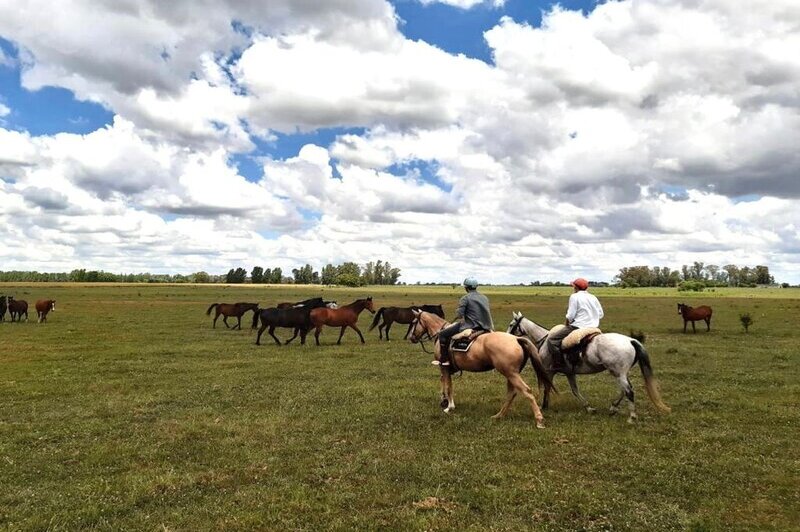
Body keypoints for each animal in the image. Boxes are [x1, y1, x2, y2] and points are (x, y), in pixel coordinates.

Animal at [410, 312, 552, 428]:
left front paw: (449, 407)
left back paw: (539, 420)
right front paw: (444, 401)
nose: (411, 338)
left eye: (414, 322)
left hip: (511, 374)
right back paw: (499, 415)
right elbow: (444, 383)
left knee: (526, 391)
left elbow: (448, 386)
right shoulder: (446, 370)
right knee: (511, 393)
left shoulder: (443, 367)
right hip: (511, 374)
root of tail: (516, 339)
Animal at [506, 312, 668, 424]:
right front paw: (588, 408)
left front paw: (544, 406)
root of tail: (631, 340)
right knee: (625, 390)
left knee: (629, 391)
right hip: (620, 373)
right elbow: (575, 390)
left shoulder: (549, 371)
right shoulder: (570, 373)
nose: (507, 336)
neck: (545, 339)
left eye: (511, 324)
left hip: (618, 373)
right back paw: (613, 408)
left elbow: (548, 387)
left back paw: (632, 417)